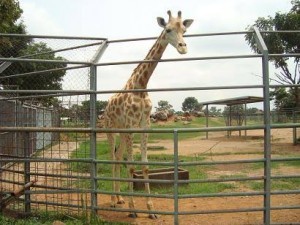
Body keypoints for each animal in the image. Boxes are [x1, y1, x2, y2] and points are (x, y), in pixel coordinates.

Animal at [102, 10, 193, 218]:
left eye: (184, 30)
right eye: (168, 30)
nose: (183, 48)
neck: (141, 85)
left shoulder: (144, 125)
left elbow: (143, 165)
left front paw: (150, 209)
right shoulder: (130, 124)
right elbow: (131, 165)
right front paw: (133, 209)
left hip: (121, 132)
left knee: (117, 158)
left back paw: (119, 198)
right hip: (111, 129)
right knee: (111, 159)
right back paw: (112, 201)